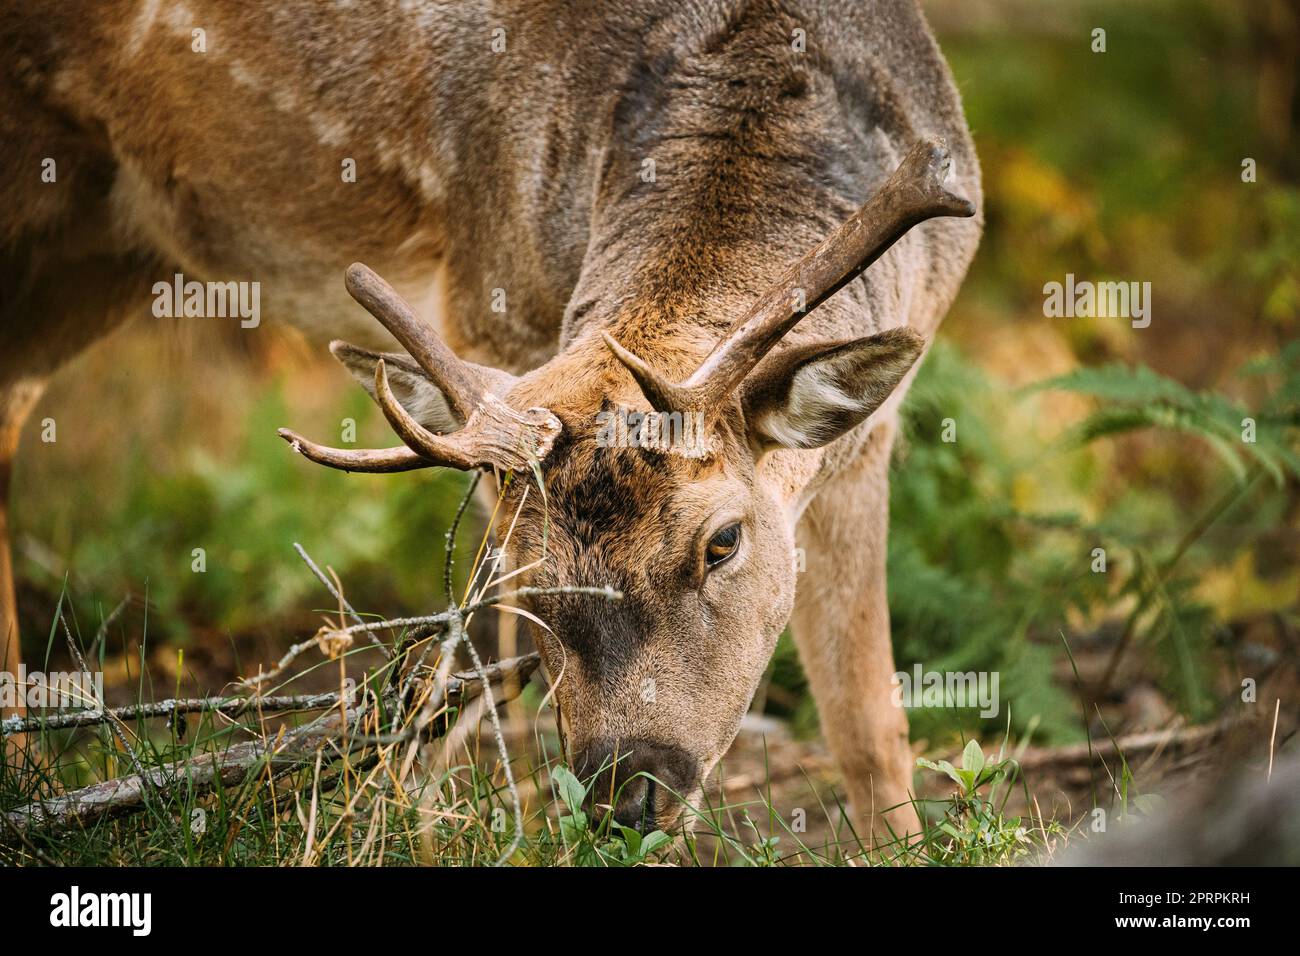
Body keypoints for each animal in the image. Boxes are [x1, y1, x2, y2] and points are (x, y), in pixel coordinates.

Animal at [0, 0, 977, 842]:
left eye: (723, 541)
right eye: (518, 565)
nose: (629, 795)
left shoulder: (866, 438)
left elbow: (869, 727)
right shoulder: (489, 314)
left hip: (103, 245)